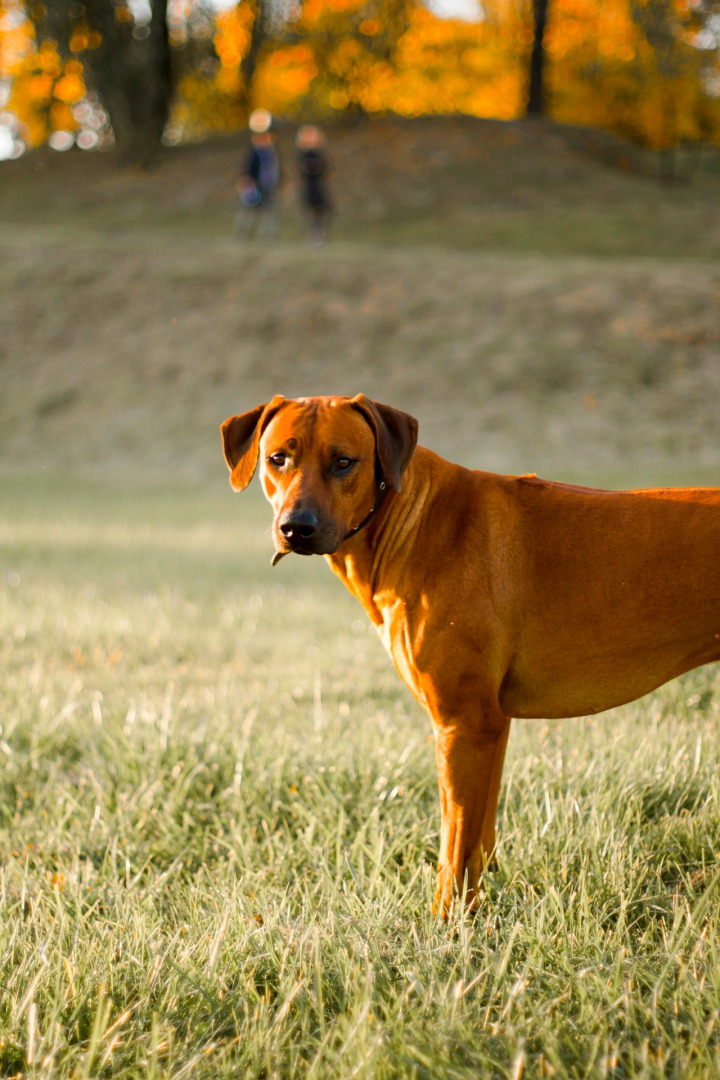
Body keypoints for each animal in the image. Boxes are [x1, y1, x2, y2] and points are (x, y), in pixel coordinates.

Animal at [221, 393, 720, 915]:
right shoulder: (491, 725)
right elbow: (479, 838)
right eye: (278, 458)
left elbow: (454, 845)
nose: (296, 527)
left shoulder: (464, 724)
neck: (412, 520)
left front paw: (447, 920)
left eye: (343, 462)